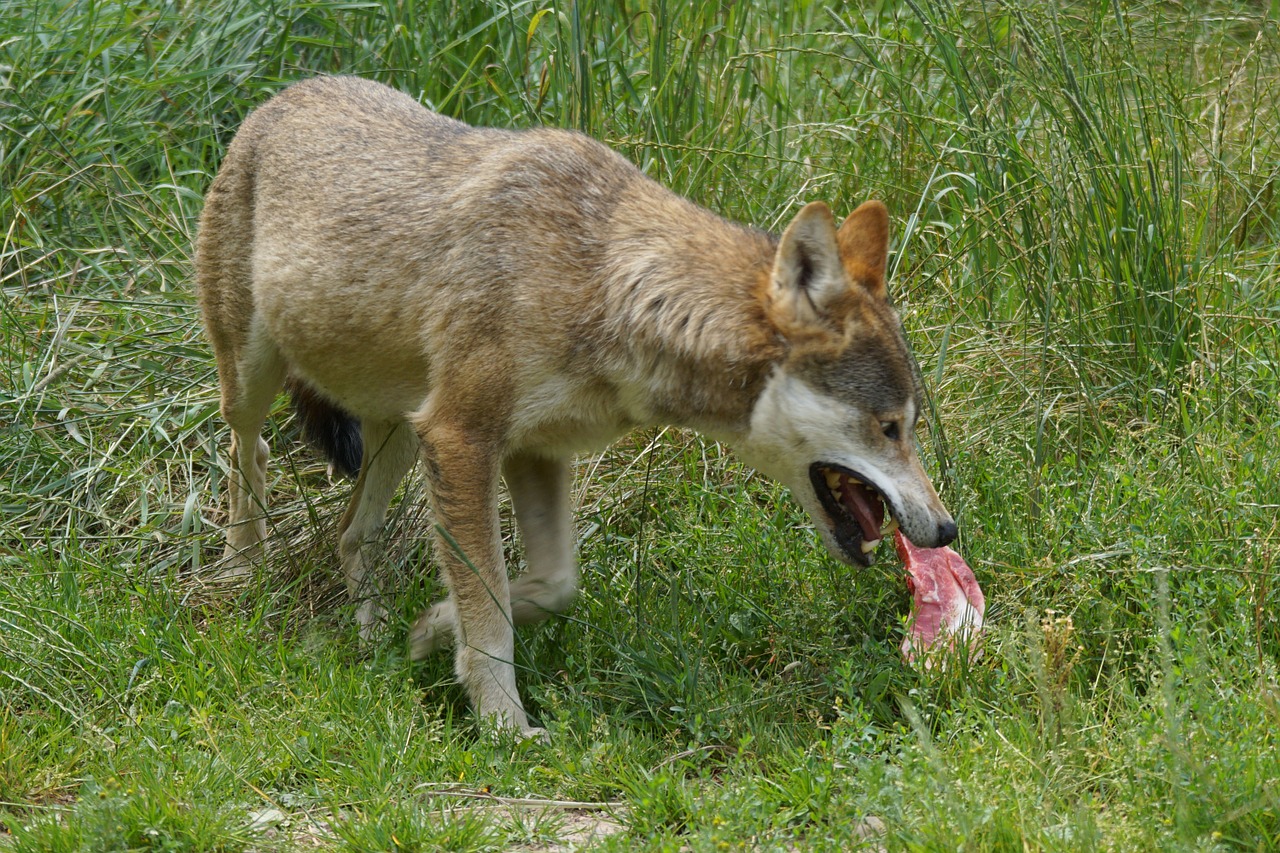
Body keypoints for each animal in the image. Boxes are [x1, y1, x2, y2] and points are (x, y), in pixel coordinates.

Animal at [197, 76, 962, 732]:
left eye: (911, 424)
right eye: (888, 427)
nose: (947, 528)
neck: (600, 284)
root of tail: (284, 95)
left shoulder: (532, 451)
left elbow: (545, 585)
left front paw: (433, 628)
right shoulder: (462, 435)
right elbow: (491, 605)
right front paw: (504, 726)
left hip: (401, 433)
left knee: (351, 531)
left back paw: (375, 640)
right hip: (260, 382)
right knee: (248, 447)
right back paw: (241, 573)